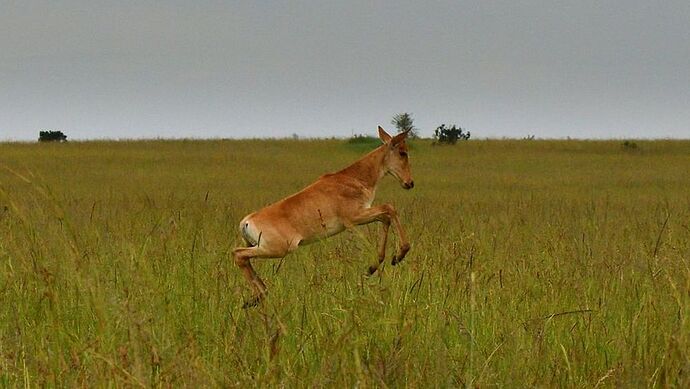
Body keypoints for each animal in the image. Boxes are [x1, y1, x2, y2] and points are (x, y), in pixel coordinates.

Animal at [231, 125, 414, 306]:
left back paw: (257, 297)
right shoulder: (354, 218)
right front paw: (398, 255)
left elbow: (386, 217)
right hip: (278, 249)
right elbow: (389, 208)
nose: (410, 183)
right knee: (238, 254)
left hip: (259, 246)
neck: (352, 177)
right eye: (402, 152)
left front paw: (377, 265)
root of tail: (246, 221)